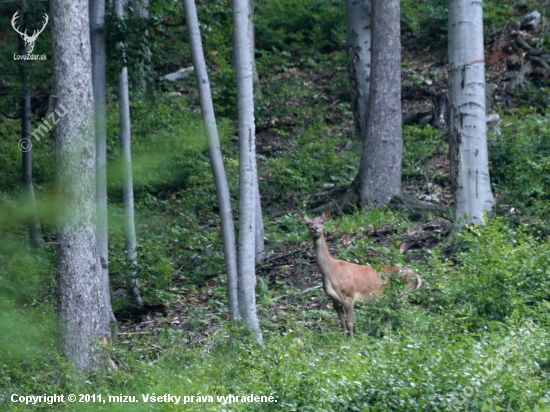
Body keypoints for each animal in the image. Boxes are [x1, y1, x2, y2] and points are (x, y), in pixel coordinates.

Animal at [298, 209, 422, 338]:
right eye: (307, 223)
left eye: (322, 222)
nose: (315, 229)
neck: (332, 271)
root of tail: (417, 276)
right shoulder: (334, 300)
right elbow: (342, 322)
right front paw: (343, 338)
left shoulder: (349, 296)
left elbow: (350, 322)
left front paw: (352, 339)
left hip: (404, 292)